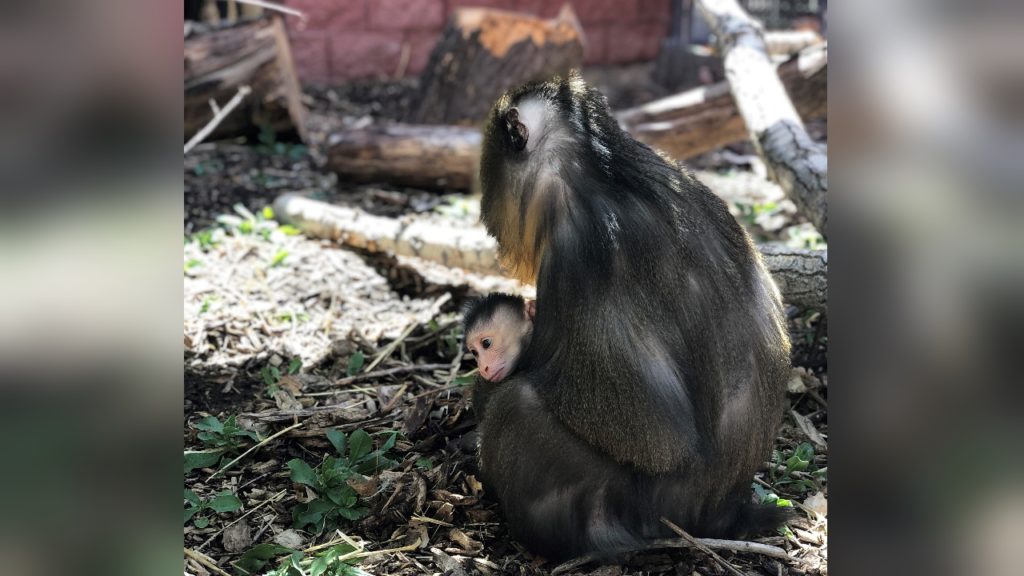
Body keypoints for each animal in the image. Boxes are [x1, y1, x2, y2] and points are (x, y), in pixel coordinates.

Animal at [471, 72, 790, 561]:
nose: (488, 218)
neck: (602, 170)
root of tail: (721, 514)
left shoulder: (576, 252)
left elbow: (658, 439)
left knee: (518, 404)